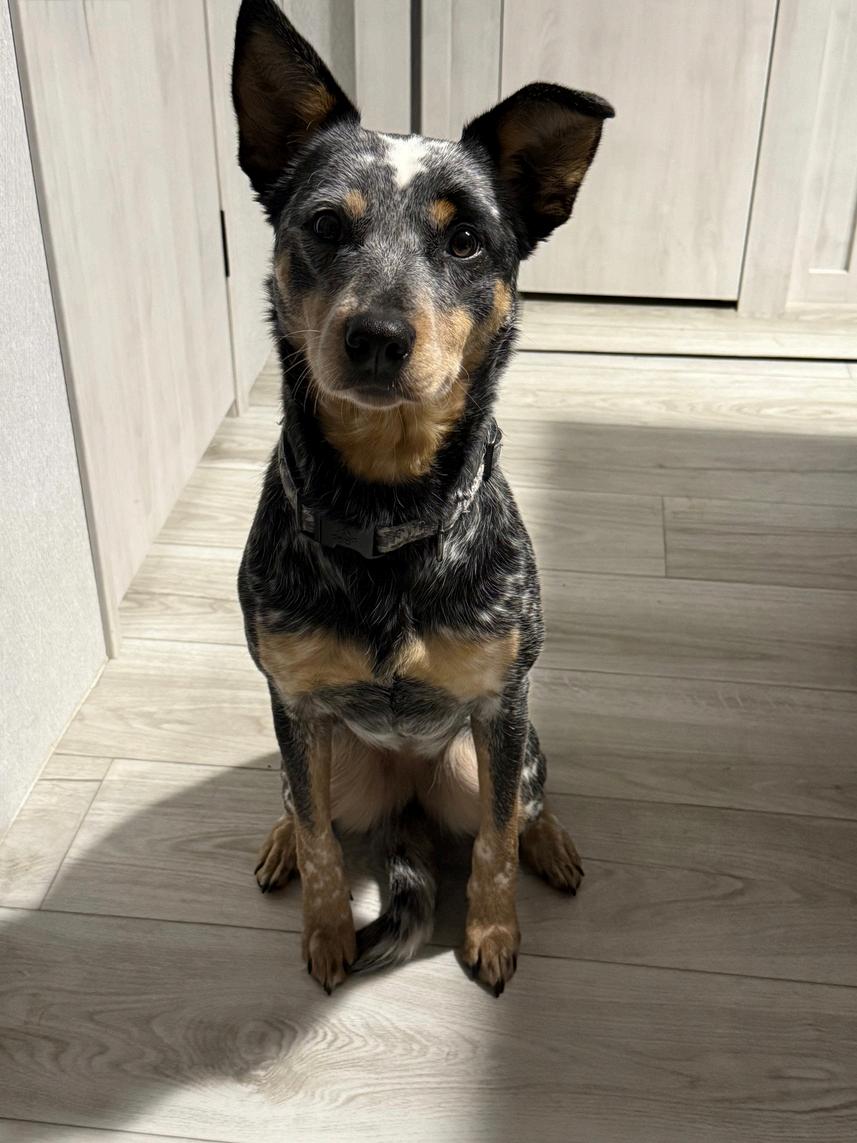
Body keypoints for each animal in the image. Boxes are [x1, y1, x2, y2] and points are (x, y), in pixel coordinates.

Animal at [232, 0, 613, 996]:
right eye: (326, 225)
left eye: (465, 239)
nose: (374, 336)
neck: (384, 506)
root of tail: (405, 799)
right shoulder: (293, 703)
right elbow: (322, 842)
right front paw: (326, 928)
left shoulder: (500, 704)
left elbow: (492, 845)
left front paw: (491, 931)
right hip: (333, 757)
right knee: (302, 802)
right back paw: (277, 839)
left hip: (492, 756)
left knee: (519, 807)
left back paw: (552, 845)